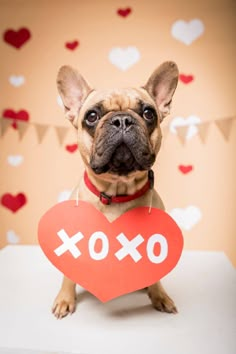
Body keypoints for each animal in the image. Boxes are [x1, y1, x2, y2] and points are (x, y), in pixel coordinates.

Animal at [52, 60, 179, 318]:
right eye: (92, 116)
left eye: (148, 113)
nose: (122, 120)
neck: (116, 192)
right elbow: (68, 275)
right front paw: (65, 299)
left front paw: (159, 296)